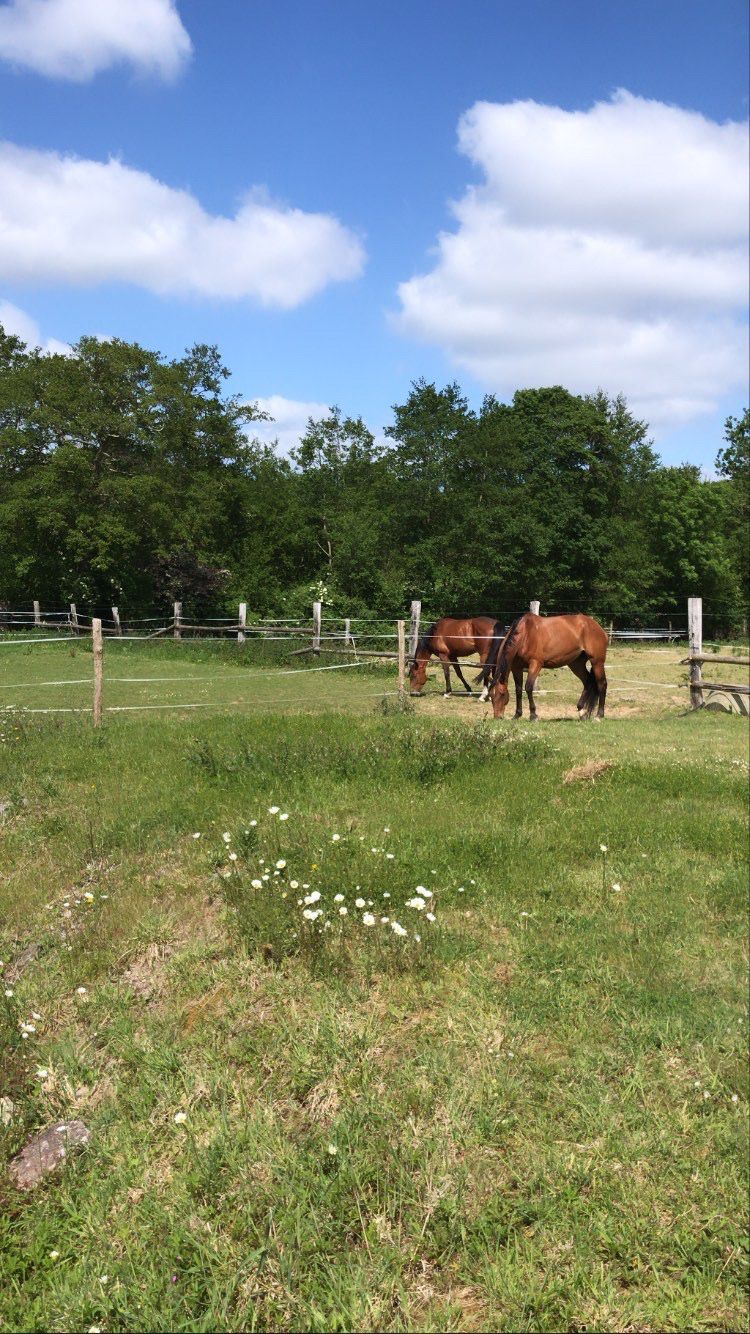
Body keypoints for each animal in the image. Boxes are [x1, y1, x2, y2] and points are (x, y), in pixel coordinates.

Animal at [477, 610, 608, 720]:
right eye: (491, 697)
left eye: (502, 694)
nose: (498, 717)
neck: (525, 634)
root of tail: (597, 627)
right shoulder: (516, 668)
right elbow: (518, 689)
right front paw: (517, 714)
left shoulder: (536, 664)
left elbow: (528, 687)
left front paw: (533, 715)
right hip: (576, 664)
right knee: (588, 682)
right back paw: (582, 712)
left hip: (597, 661)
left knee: (602, 684)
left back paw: (599, 715)